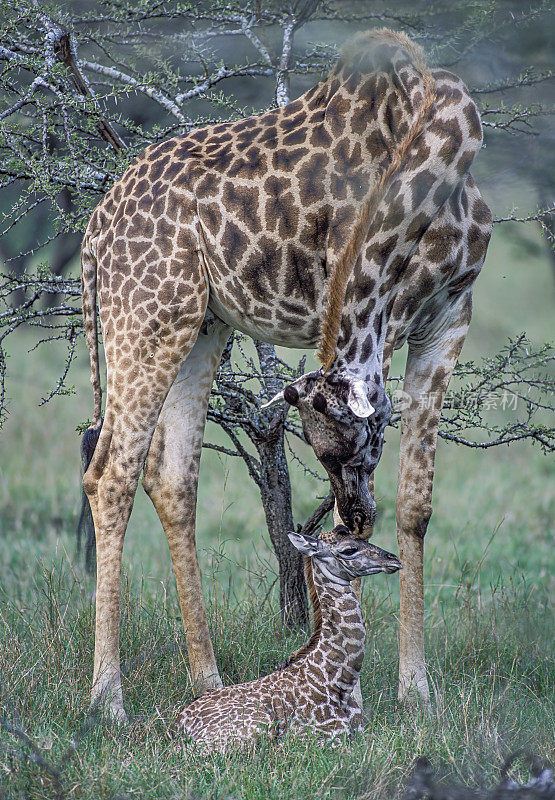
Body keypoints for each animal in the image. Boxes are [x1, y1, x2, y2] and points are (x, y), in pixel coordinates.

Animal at [78, 29, 490, 720]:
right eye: (330, 449)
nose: (355, 512)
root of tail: (93, 231)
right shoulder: (377, 308)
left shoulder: (448, 316)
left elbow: (417, 503)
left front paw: (417, 689)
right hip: (146, 313)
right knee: (112, 473)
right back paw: (108, 698)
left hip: (203, 323)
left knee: (172, 474)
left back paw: (207, 679)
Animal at [177, 524, 400, 752]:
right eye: (349, 550)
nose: (393, 559)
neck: (338, 685)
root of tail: (178, 725)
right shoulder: (322, 739)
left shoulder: (363, 732)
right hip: (249, 731)